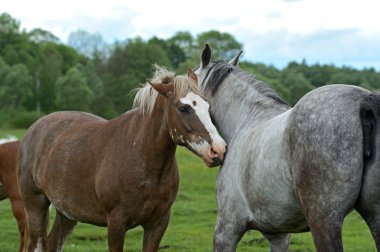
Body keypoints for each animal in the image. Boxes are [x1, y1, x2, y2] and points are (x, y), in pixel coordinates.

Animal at [17, 66, 226, 251]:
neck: (143, 160)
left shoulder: (157, 224)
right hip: (35, 205)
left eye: (208, 105)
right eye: (183, 109)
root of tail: (33, 130)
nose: (218, 150)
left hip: (67, 212)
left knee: (52, 243)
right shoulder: (116, 224)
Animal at [194, 44, 380, 251]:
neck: (246, 121)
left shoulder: (227, 228)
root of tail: (364, 100)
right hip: (374, 216)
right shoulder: (279, 235)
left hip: (325, 222)